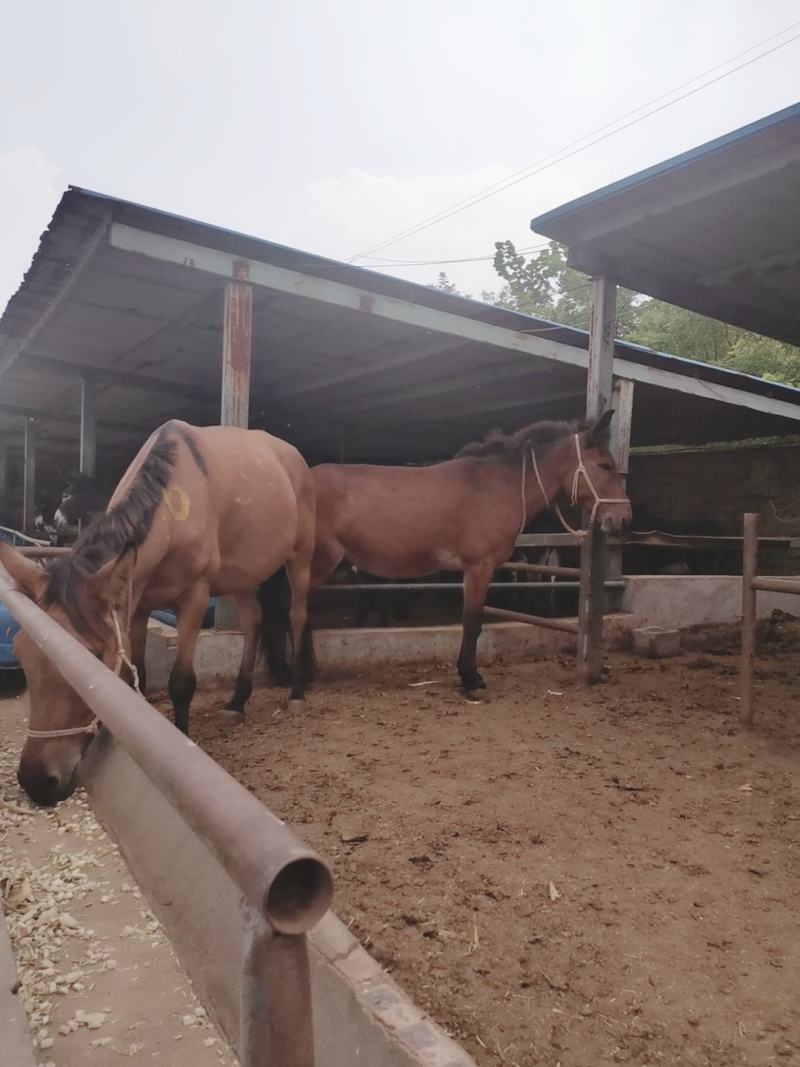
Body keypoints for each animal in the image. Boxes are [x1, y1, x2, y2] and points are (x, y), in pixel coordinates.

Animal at [0, 419, 315, 806]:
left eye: (92, 656)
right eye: (22, 652)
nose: (36, 780)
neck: (172, 509)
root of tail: (293, 456)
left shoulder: (194, 598)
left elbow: (181, 682)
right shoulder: (137, 601)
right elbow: (139, 674)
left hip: (300, 559)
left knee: (297, 616)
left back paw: (296, 693)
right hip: (244, 575)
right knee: (253, 622)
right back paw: (237, 702)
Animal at [266, 413, 630, 695]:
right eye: (605, 465)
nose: (623, 519)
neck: (497, 486)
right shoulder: (479, 567)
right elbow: (472, 622)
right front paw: (470, 679)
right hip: (317, 562)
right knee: (292, 609)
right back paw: (295, 676)